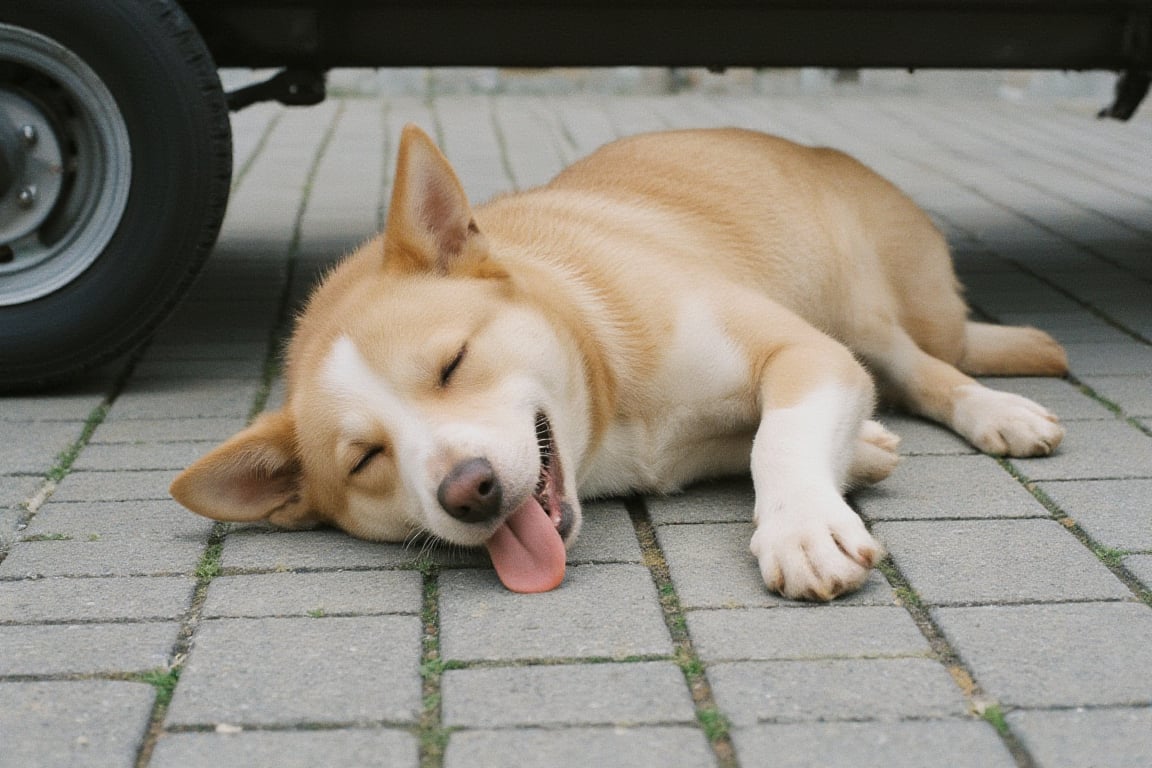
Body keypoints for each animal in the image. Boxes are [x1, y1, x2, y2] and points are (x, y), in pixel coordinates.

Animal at [168, 126, 1059, 603]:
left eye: (453, 363)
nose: (468, 491)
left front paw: (802, 525)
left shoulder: (805, 350)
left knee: (927, 369)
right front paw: (862, 455)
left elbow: (778, 438)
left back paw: (998, 411)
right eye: (365, 459)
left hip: (866, 313)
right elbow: (771, 439)